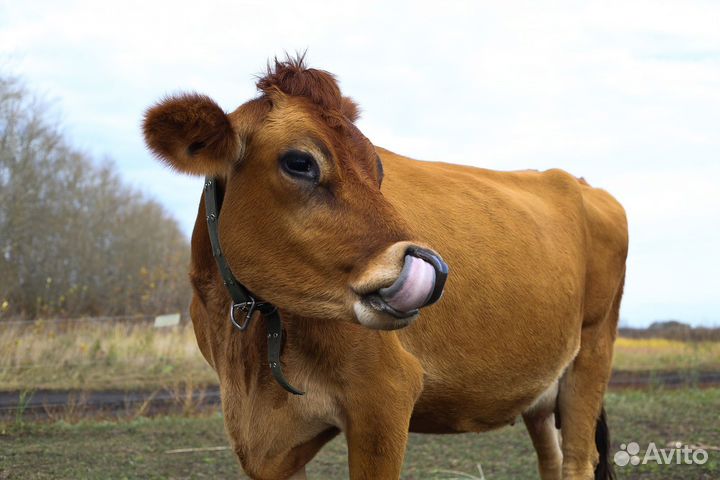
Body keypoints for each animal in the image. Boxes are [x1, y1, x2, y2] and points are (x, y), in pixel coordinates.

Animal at [143, 56, 628, 480]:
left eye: (377, 166)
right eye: (299, 162)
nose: (432, 267)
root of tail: (577, 181)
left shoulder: (384, 395)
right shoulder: (267, 443)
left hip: (592, 351)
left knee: (578, 461)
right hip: (542, 395)